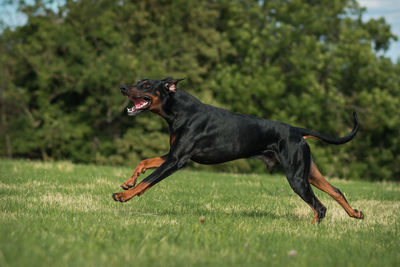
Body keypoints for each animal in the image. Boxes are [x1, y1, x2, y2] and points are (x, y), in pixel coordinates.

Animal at [111, 78, 362, 224]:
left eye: (145, 85)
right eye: (137, 81)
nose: (122, 88)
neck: (180, 109)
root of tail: (296, 131)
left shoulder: (177, 160)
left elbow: (149, 180)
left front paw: (123, 196)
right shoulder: (173, 154)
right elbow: (144, 162)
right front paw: (128, 182)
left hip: (296, 177)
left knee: (320, 207)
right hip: (308, 172)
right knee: (336, 191)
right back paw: (355, 213)